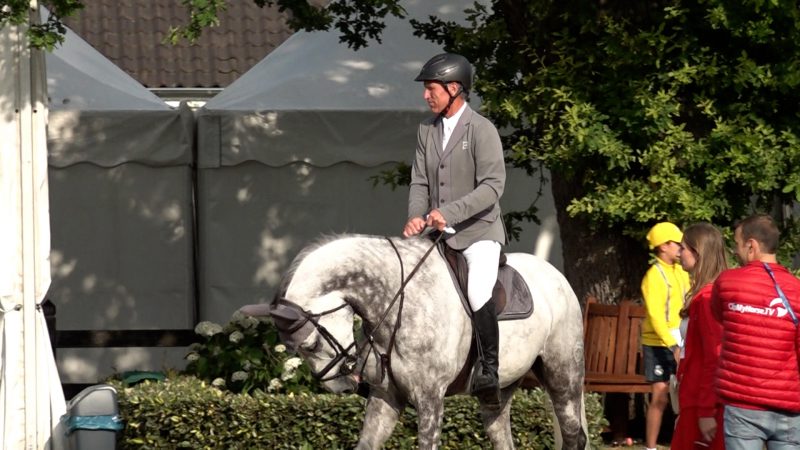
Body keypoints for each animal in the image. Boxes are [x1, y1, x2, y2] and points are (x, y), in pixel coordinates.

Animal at [268, 236, 588, 450]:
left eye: (310, 346)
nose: (341, 387)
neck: (397, 300)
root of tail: (555, 274)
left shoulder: (430, 397)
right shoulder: (385, 397)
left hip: (562, 375)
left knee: (574, 435)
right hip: (503, 387)